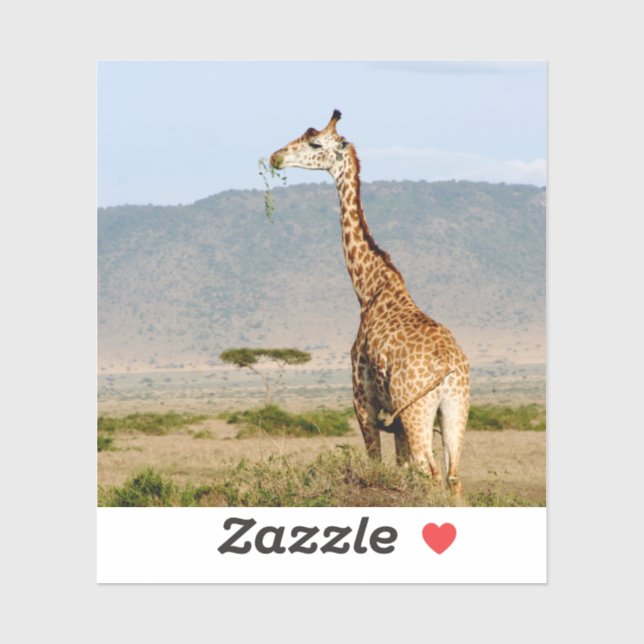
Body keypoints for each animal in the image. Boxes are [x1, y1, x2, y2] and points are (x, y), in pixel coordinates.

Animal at [269, 110, 470, 494]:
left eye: (314, 143)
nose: (275, 157)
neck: (369, 289)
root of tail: (449, 368)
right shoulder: (394, 415)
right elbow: (400, 466)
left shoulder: (362, 400)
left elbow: (377, 463)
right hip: (455, 408)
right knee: (453, 475)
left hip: (417, 409)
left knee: (429, 470)